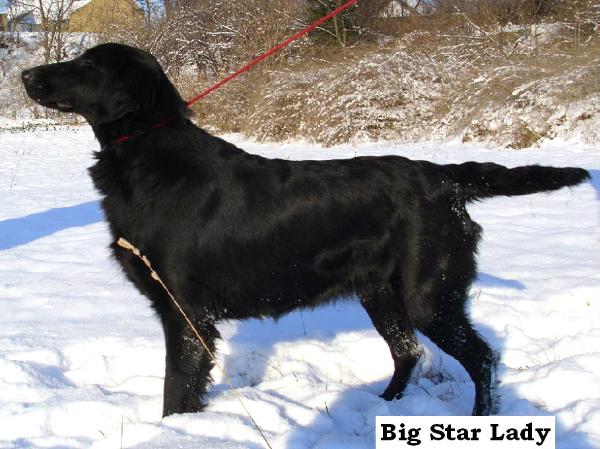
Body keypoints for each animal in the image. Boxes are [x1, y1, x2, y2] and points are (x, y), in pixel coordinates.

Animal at [22, 43, 584, 416]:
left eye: (87, 64)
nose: (26, 74)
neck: (149, 159)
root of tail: (445, 177)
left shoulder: (185, 312)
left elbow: (176, 390)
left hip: (429, 293)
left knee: (481, 358)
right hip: (380, 293)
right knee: (408, 351)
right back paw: (382, 406)